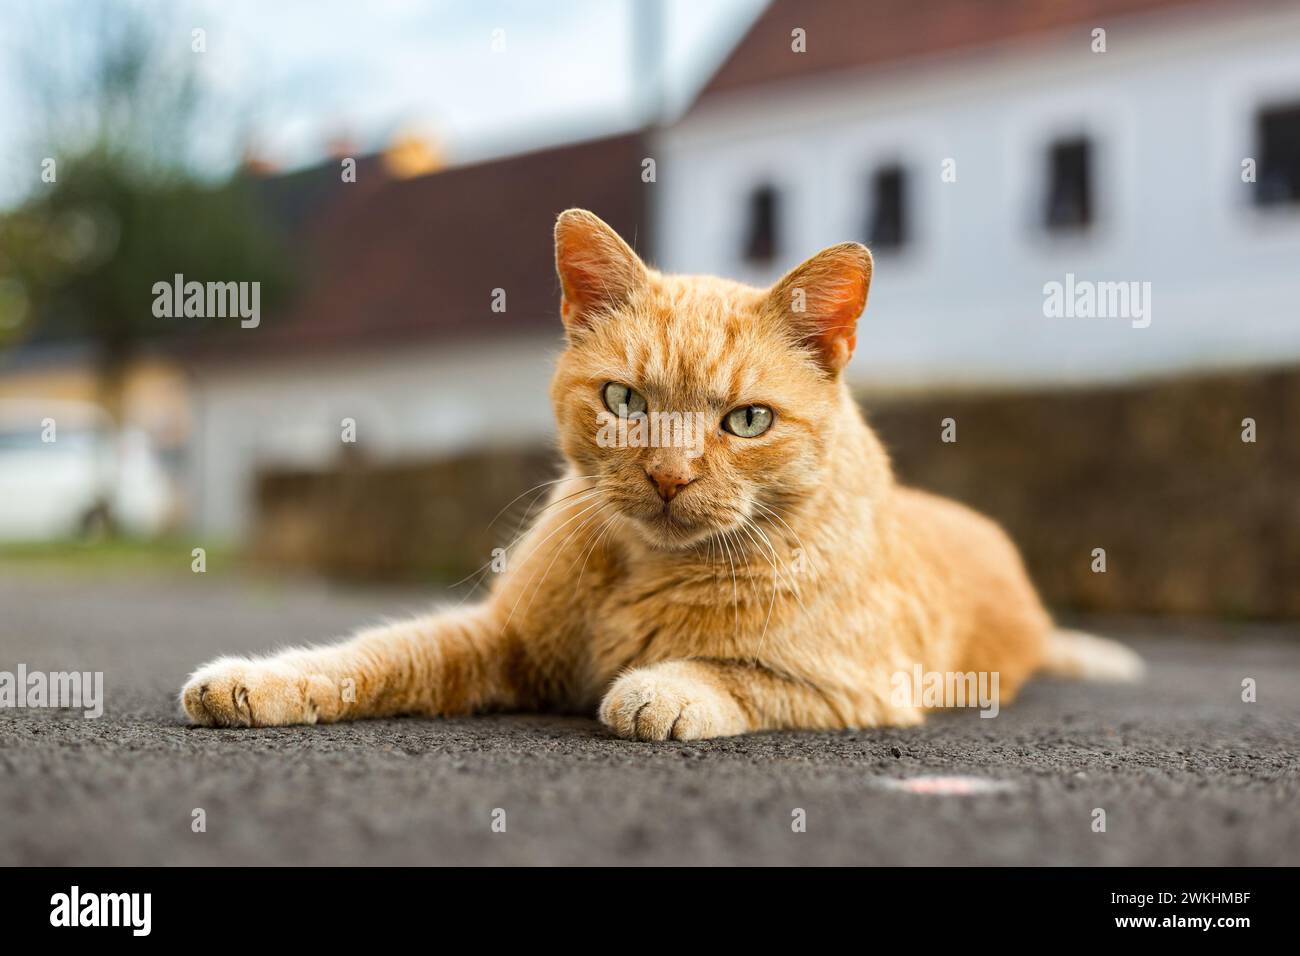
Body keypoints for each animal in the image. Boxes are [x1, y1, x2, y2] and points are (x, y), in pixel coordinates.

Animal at [180, 209, 1138, 738]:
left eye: (746, 420)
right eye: (626, 400)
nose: (671, 475)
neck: (642, 573)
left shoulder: (857, 686)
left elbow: (736, 673)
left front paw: (660, 686)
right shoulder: (500, 638)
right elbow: (376, 653)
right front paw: (261, 682)